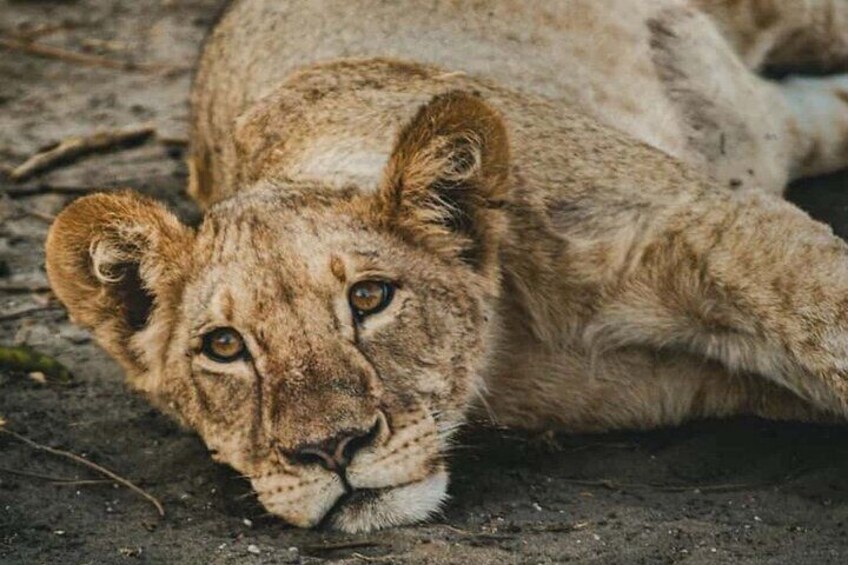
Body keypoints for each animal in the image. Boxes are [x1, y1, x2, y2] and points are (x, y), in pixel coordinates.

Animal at [44, 0, 848, 532]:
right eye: (223, 346)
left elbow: (827, 324)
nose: (330, 449)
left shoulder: (713, 224)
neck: (514, 334)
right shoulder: (700, 377)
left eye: (370, 298)